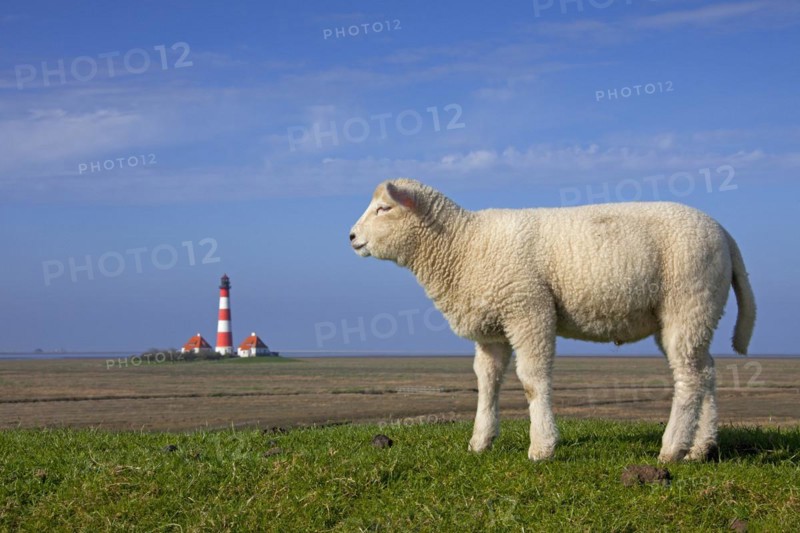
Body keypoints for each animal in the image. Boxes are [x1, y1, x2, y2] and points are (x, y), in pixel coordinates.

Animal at [349, 178, 756, 462]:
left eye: (384, 208)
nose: (351, 236)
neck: (464, 245)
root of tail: (724, 233)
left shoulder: (528, 309)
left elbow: (532, 380)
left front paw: (542, 446)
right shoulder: (493, 329)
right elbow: (487, 381)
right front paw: (481, 441)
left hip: (688, 301)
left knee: (688, 378)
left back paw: (671, 449)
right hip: (696, 312)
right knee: (705, 371)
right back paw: (701, 448)